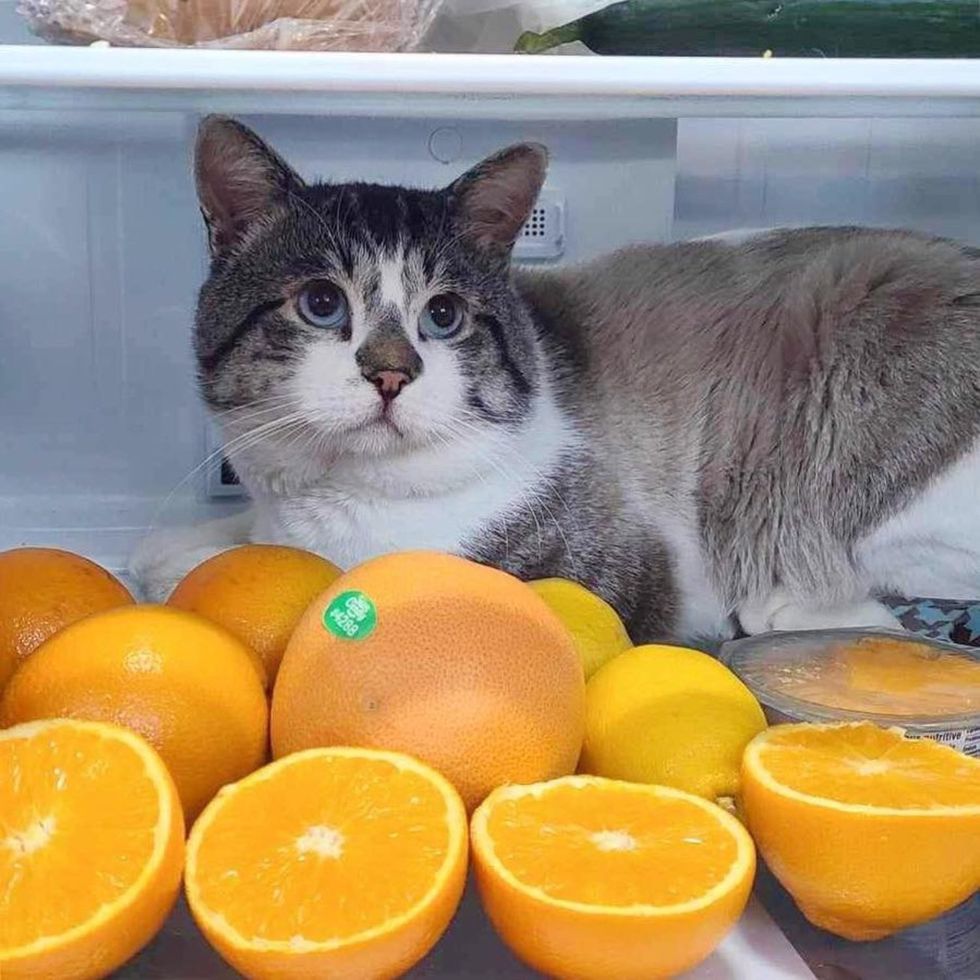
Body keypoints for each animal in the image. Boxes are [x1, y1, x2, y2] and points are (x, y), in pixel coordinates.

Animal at [130, 115, 980, 648]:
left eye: (444, 316)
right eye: (320, 304)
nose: (391, 373)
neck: (334, 505)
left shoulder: (617, 568)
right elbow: (201, 547)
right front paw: (181, 553)